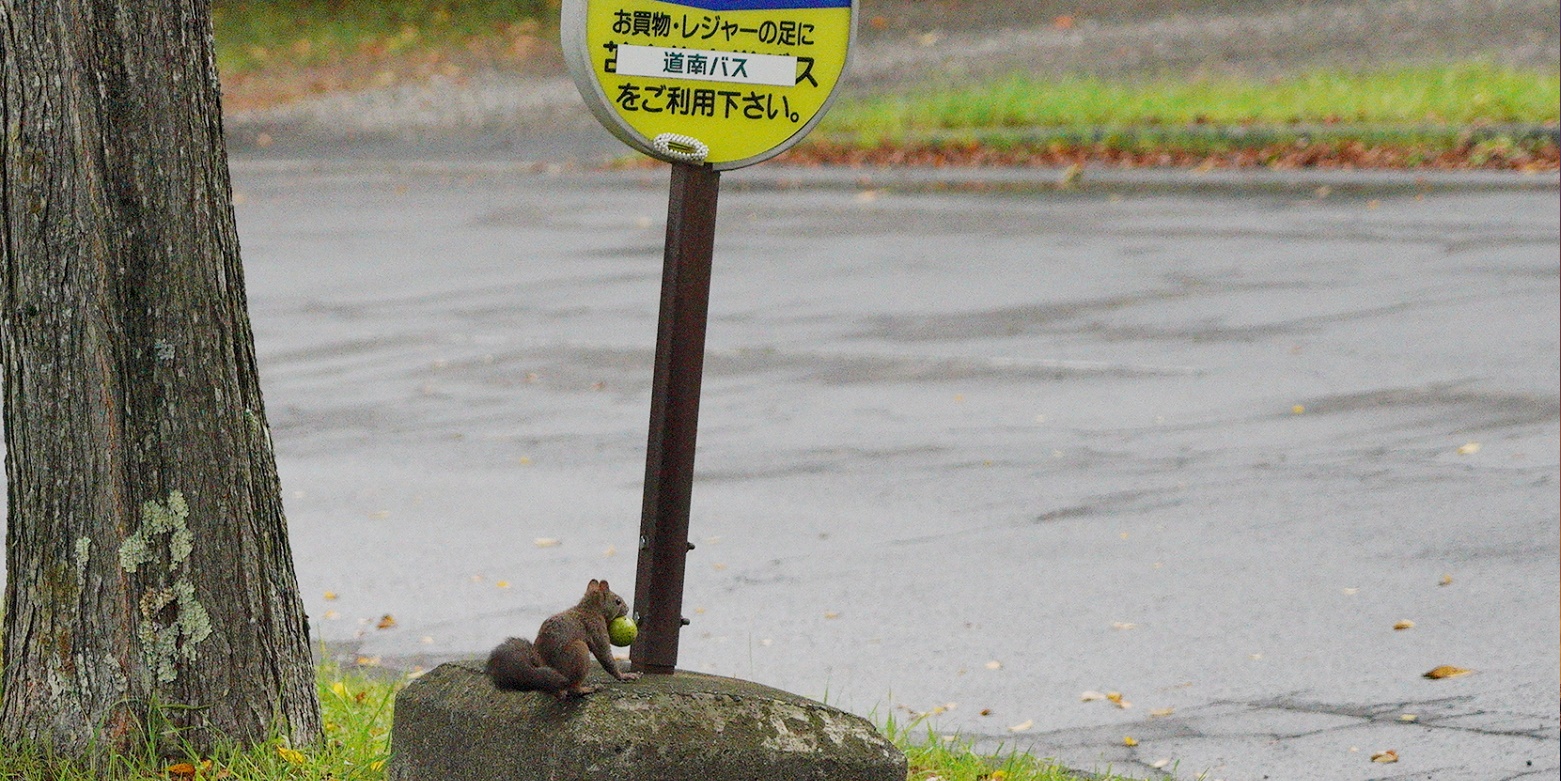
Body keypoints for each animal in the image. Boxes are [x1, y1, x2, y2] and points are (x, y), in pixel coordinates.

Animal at [480, 577, 640, 699]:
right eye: (617, 601)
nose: (627, 609)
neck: (590, 609)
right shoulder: (596, 629)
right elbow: (605, 656)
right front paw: (624, 675)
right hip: (578, 652)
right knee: (573, 688)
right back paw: (586, 689)